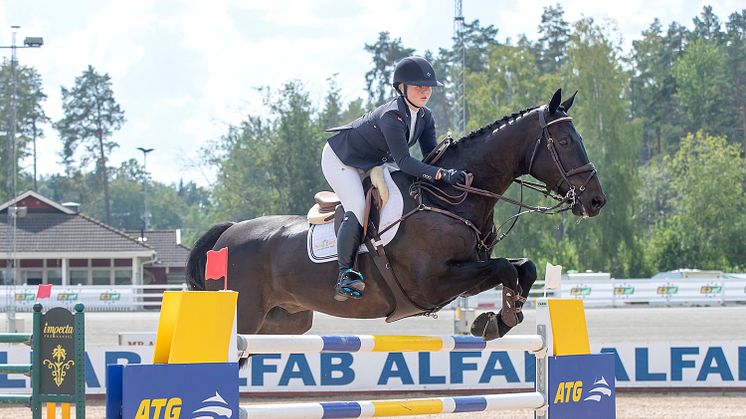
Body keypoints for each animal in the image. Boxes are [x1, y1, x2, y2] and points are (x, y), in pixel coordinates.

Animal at [186, 88, 604, 342]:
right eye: (564, 141)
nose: (596, 201)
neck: (449, 198)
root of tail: (227, 234)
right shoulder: (433, 284)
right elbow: (505, 268)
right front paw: (494, 321)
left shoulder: (465, 273)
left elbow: (523, 268)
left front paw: (499, 319)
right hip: (246, 315)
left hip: (284, 321)